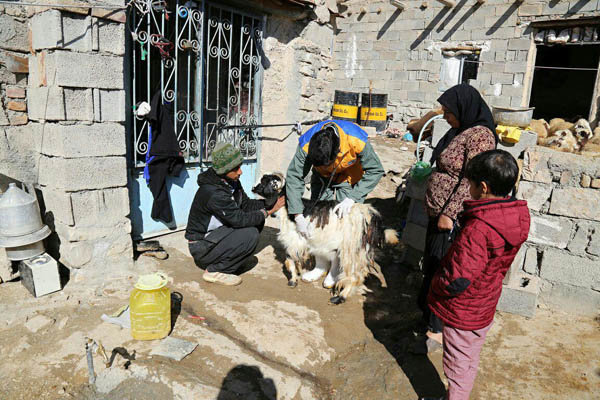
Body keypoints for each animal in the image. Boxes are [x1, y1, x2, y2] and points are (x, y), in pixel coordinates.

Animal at [252, 173, 398, 304]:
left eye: (264, 182)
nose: (252, 188)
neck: (286, 208)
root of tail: (372, 217)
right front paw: (295, 279)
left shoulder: (294, 239)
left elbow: (291, 259)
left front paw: (293, 280)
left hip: (352, 249)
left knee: (354, 275)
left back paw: (340, 298)